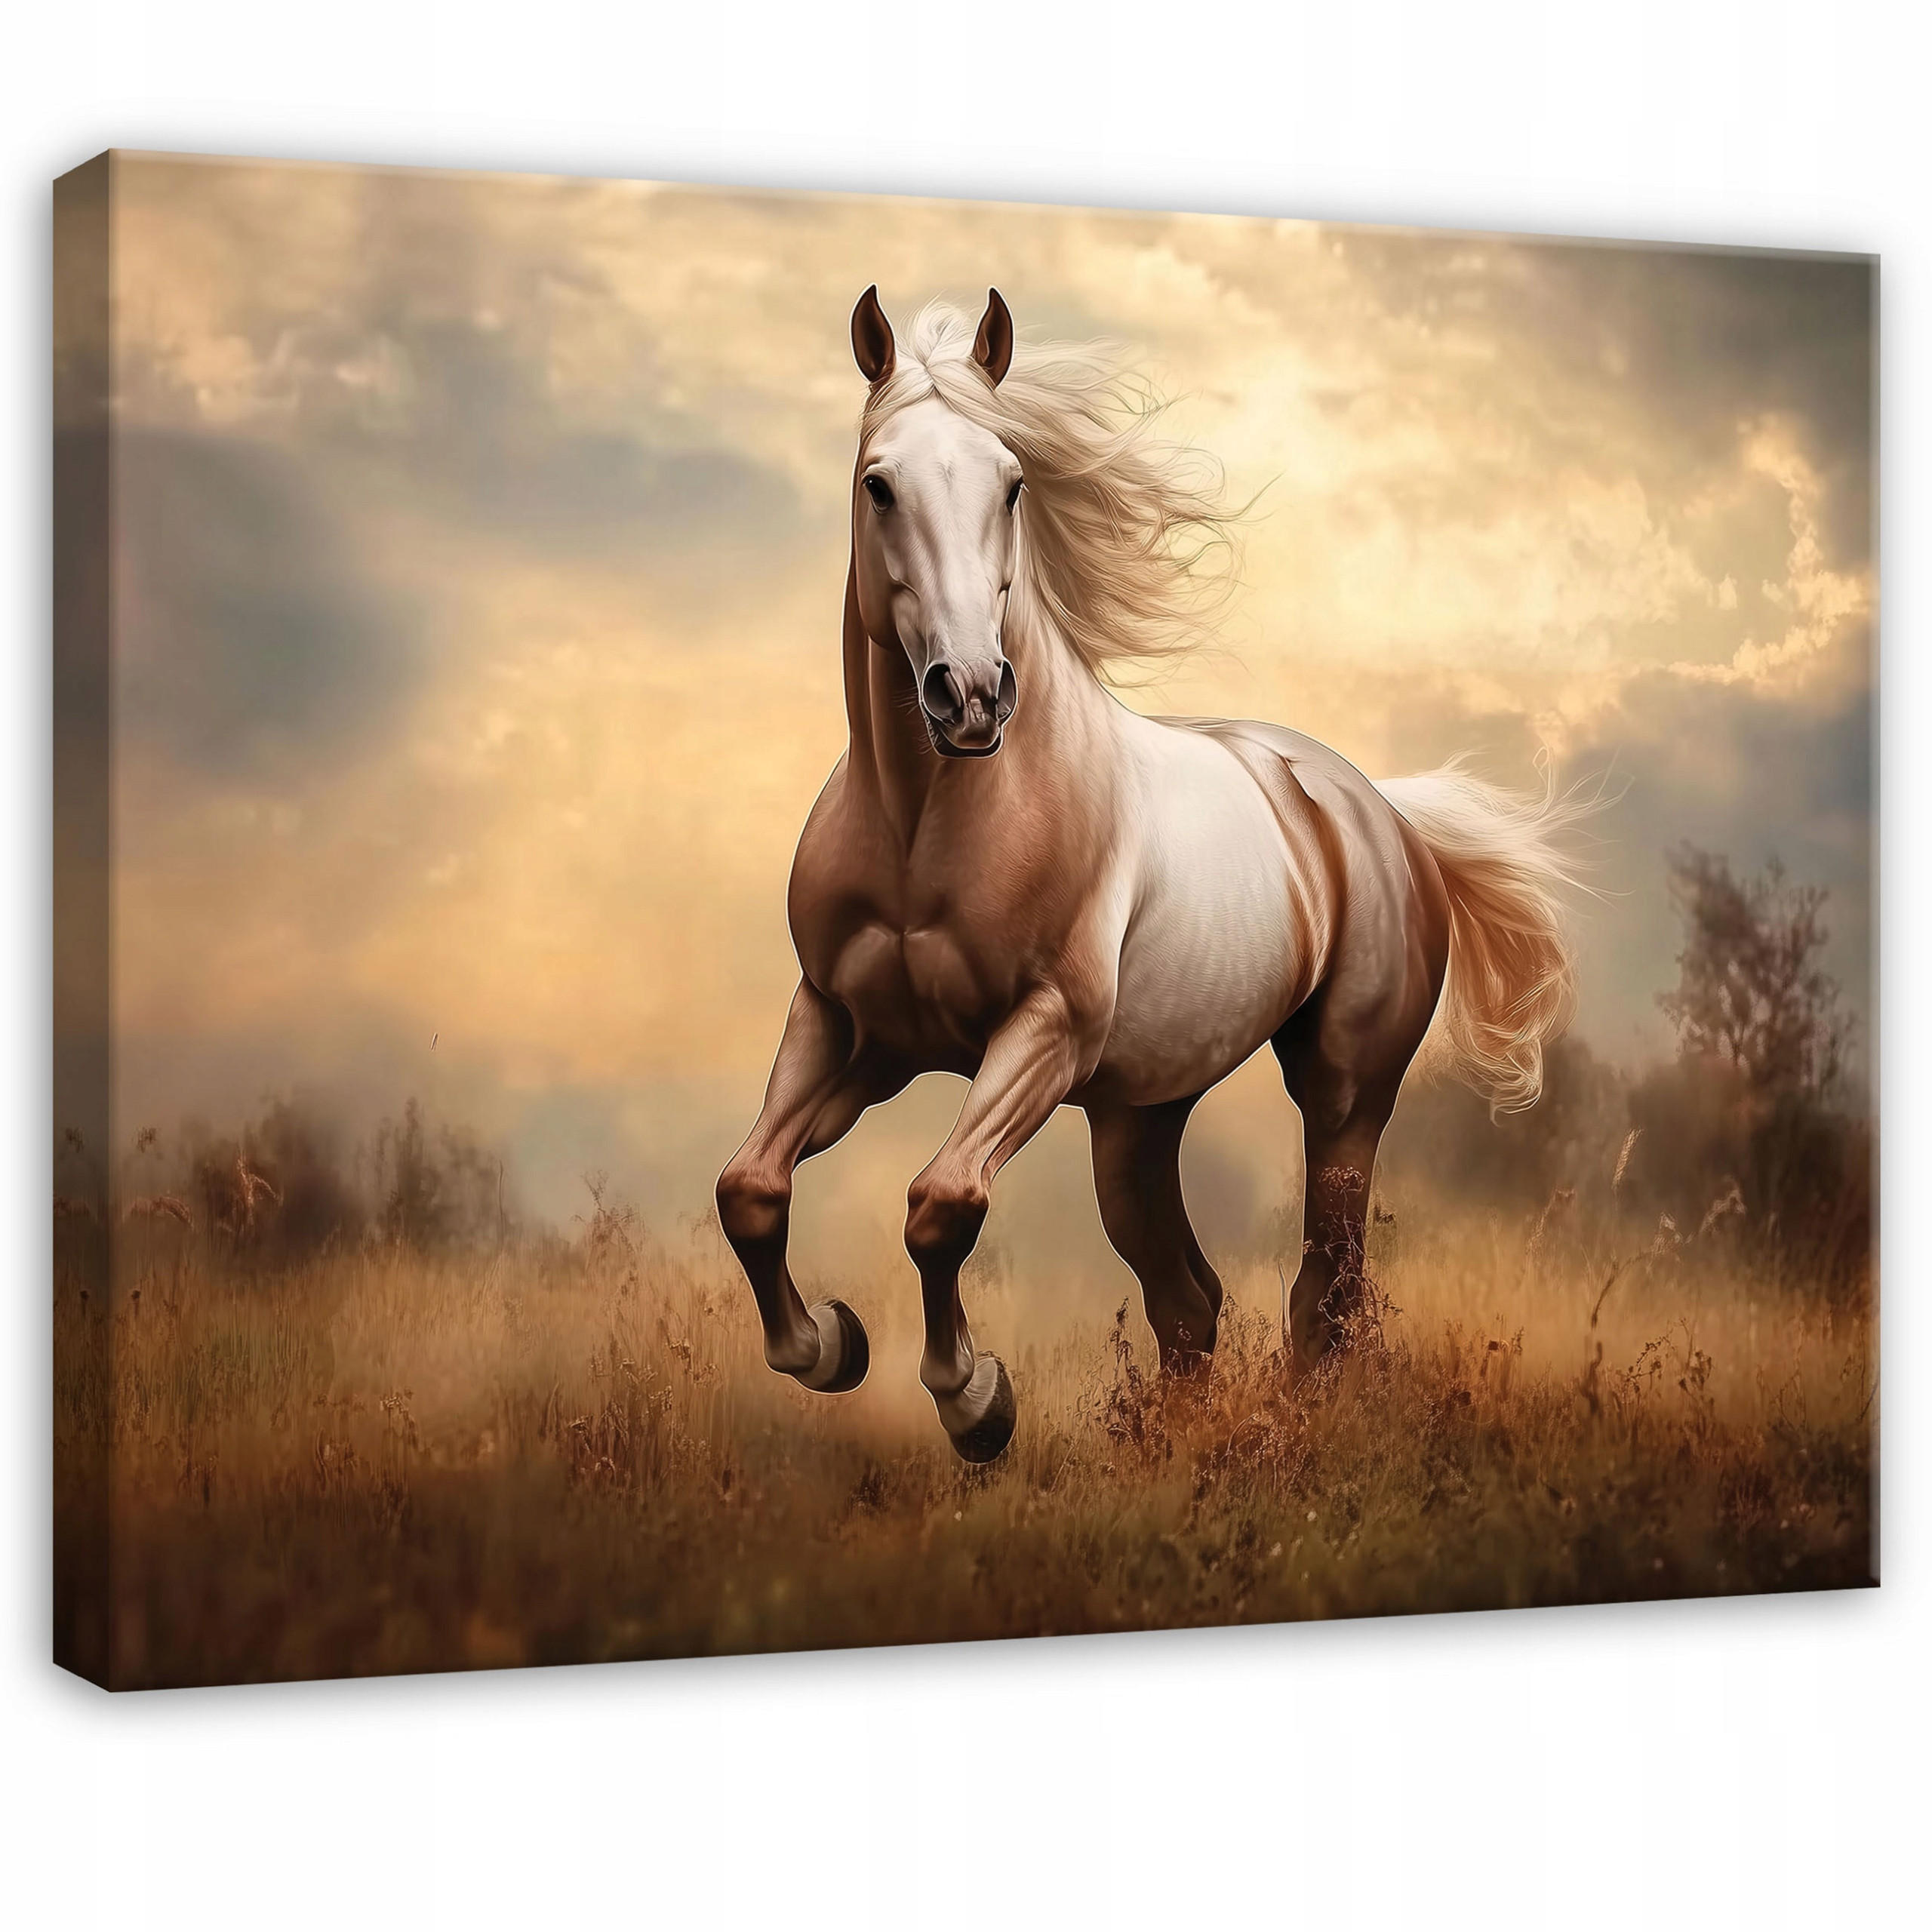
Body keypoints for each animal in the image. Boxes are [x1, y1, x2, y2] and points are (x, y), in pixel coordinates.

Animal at [716, 286, 1592, 1463]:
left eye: (1012, 482)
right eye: (878, 484)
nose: (970, 696)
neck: (924, 825)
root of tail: (1380, 810)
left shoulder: (1042, 1032)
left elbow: (942, 1204)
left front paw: (976, 1401)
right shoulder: (851, 1027)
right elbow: (752, 1189)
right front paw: (831, 1345)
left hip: (1342, 1091)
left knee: (1325, 1289)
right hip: (1137, 1119)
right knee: (1189, 1300)